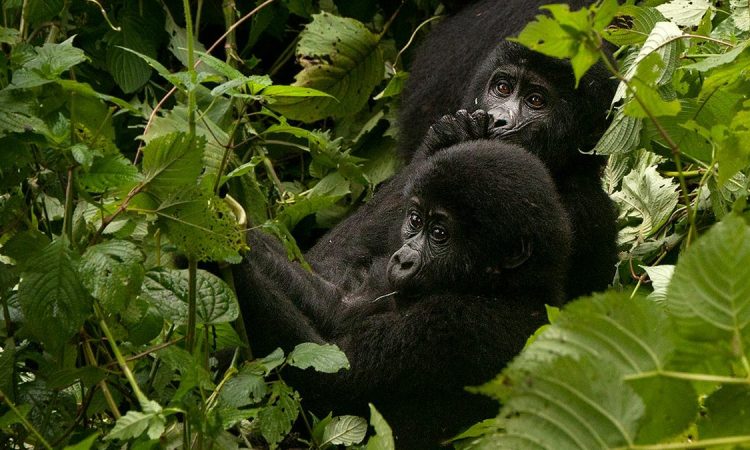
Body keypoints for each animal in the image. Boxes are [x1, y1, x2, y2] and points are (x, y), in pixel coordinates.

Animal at [232, 140, 572, 446]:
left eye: (439, 234)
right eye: (415, 220)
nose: (402, 259)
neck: (510, 287)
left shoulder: (456, 324)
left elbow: (328, 377)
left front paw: (231, 260)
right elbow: (335, 307)